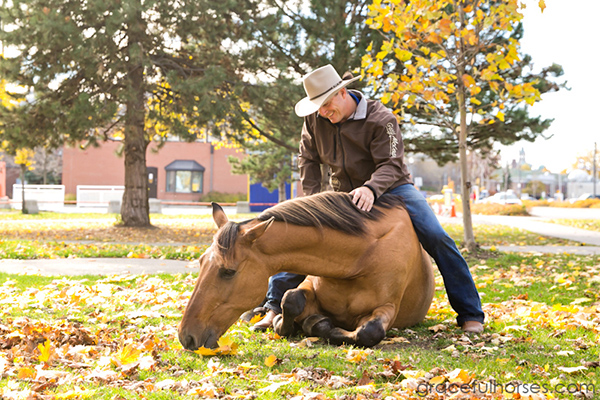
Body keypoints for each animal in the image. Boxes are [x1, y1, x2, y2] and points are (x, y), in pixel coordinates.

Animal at [176, 191, 434, 350]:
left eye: (228, 272)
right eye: (201, 262)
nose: (186, 336)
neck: (361, 259)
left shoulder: (387, 308)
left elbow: (368, 332)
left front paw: (318, 325)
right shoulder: (307, 287)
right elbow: (290, 299)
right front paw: (289, 321)